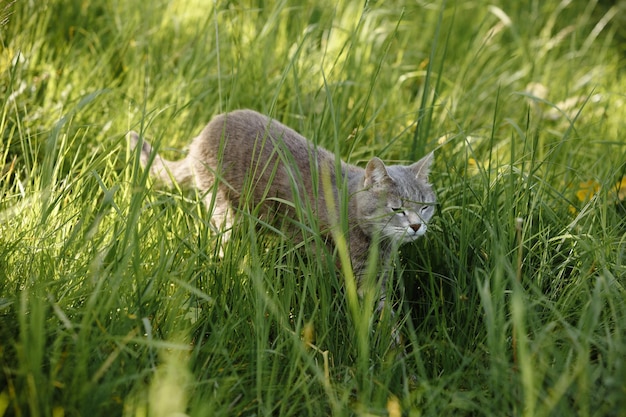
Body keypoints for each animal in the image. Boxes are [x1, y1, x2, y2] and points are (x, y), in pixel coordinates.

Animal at [130, 109, 434, 310]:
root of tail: (202, 134)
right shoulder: (356, 270)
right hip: (223, 209)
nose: (416, 225)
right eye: (397, 209)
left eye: (426, 207)